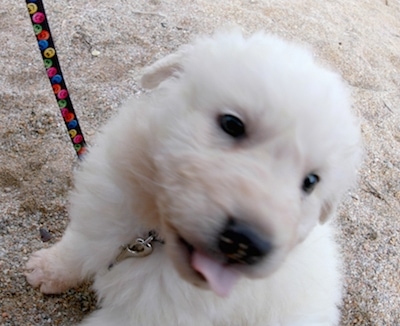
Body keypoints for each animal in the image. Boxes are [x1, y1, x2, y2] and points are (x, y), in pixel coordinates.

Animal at [26, 29, 360, 324]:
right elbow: (76, 247)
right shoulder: (103, 211)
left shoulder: (143, 317)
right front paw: (45, 270)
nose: (247, 243)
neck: (150, 238)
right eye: (232, 124)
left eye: (311, 182)